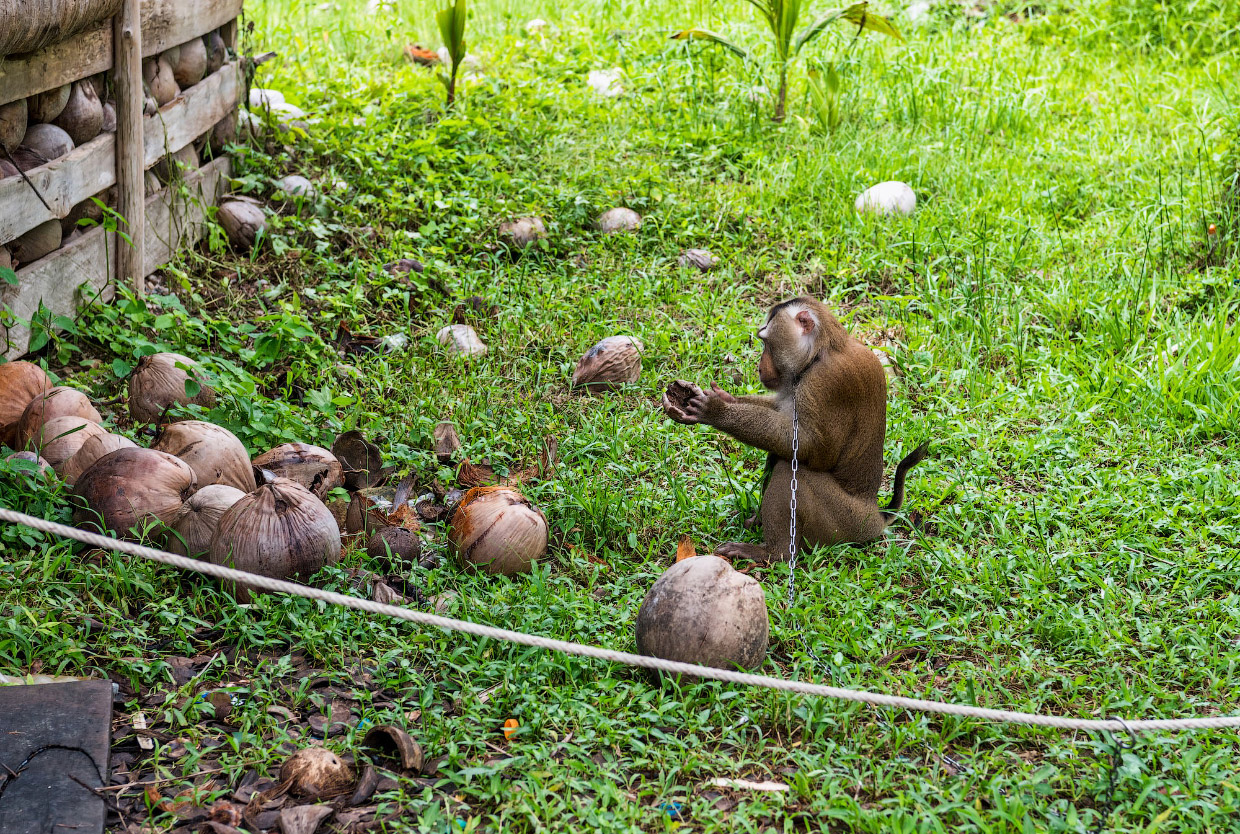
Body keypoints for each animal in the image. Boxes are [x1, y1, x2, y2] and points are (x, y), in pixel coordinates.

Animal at [664, 296, 927, 562]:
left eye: (766, 342)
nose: (760, 367)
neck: (823, 350)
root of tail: (874, 514)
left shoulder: (824, 383)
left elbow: (810, 447)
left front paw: (716, 411)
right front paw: (722, 397)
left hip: (844, 524)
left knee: (791, 470)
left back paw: (773, 552)